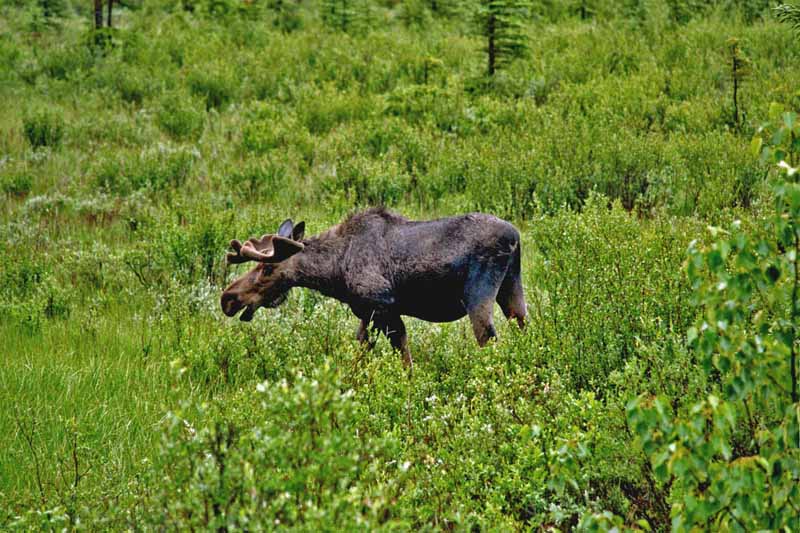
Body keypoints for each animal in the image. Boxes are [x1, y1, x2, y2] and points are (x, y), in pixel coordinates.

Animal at [222, 208, 528, 366]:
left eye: (267, 269)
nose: (228, 299)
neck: (334, 272)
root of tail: (515, 237)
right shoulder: (365, 314)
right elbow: (358, 354)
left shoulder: (384, 308)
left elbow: (405, 362)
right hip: (511, 288)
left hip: (479, 294)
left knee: (488, 338)